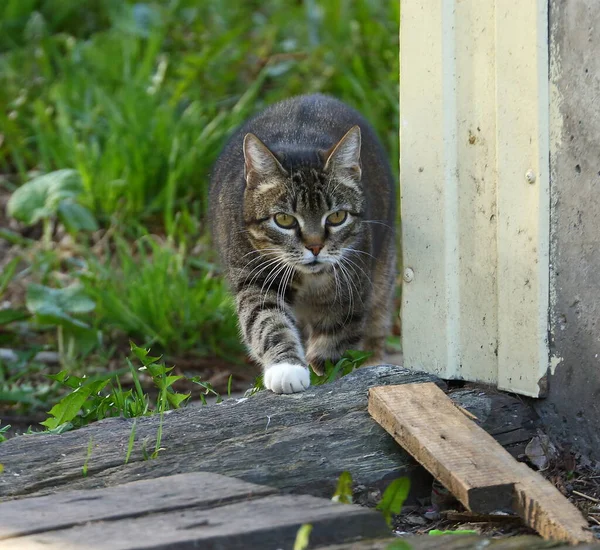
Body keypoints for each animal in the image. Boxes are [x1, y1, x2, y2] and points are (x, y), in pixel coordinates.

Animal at [209, 96, 396, 396]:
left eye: (336, 216)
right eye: (284, 220)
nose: (315, 247)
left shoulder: (350, 286)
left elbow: (334, 342)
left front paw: (326, 375)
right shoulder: (254, 277)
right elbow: (267, 321)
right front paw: (287, 369)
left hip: (382, 271)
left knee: (377, 322)